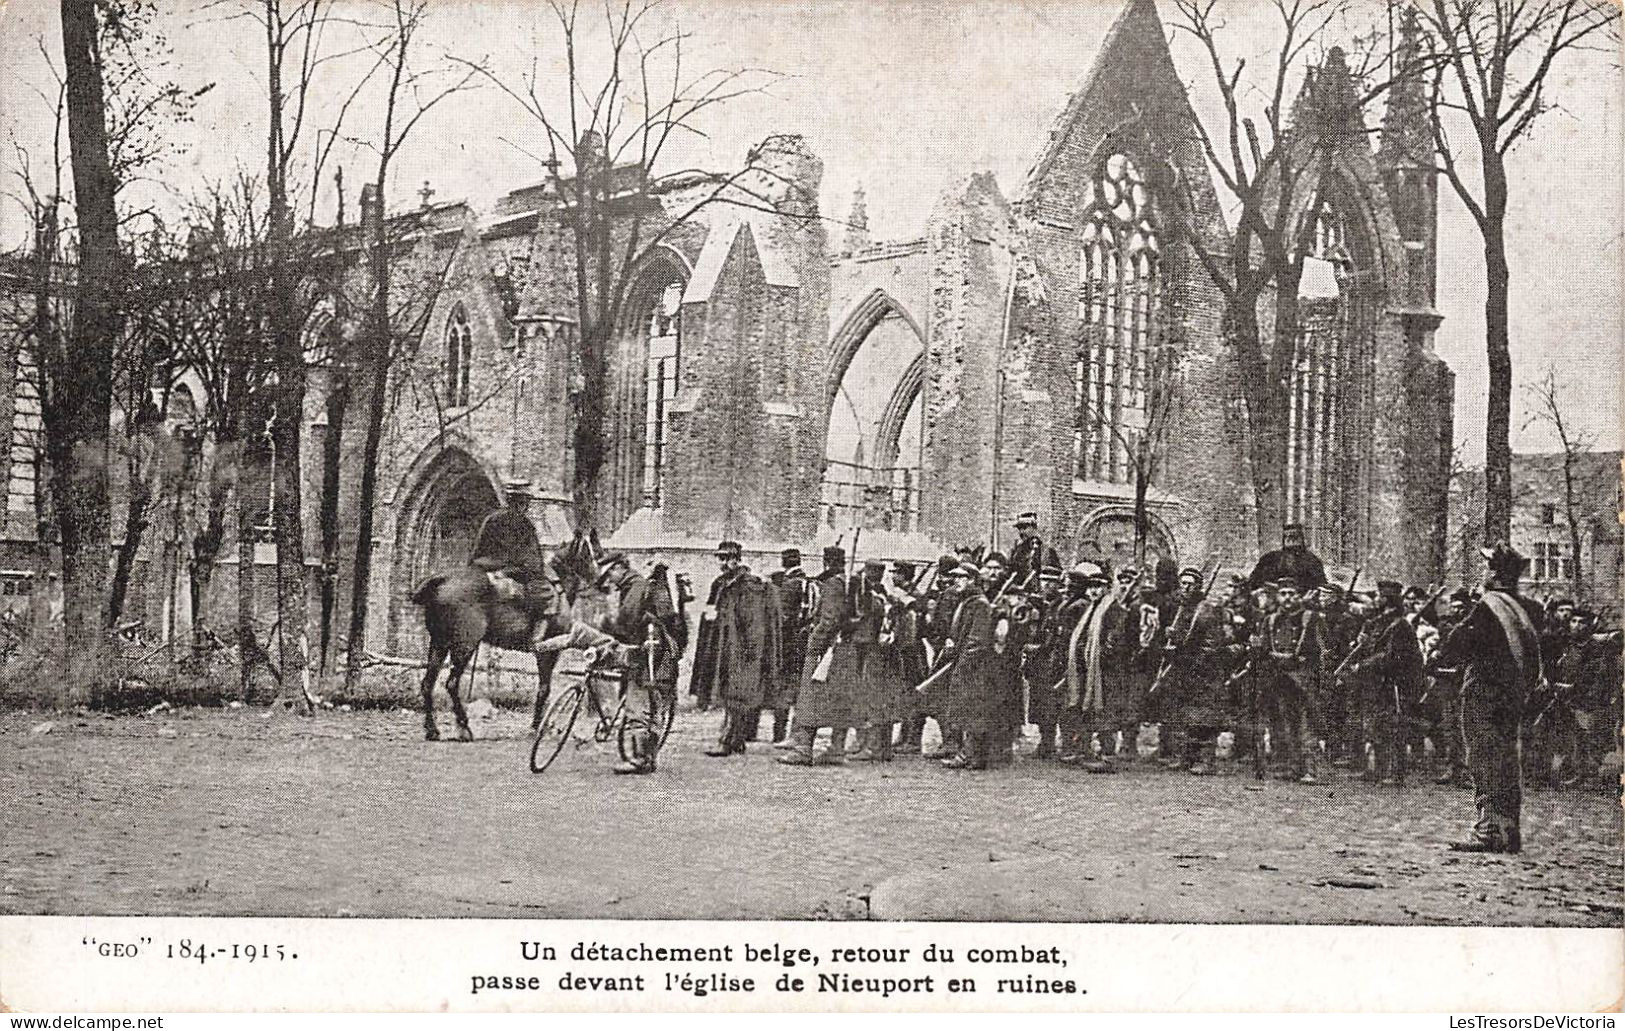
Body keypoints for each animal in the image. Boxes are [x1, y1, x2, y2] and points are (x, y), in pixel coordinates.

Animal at [409, 530, 607, 738]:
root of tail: (442, 580)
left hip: (439, 644)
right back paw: (464, 728)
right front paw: (537, 726)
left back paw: (432, 730)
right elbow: (544, 689)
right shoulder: (548, 652)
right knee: (451, 684)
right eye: (592, 551)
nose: (603, 583)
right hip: (464, 647)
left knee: (427, 684)